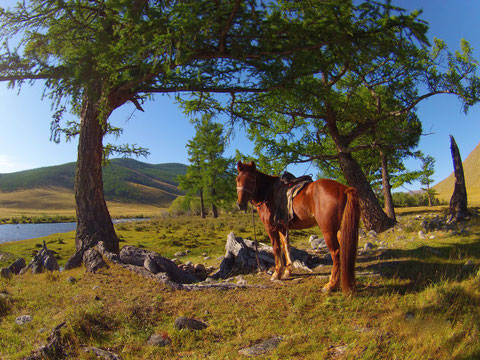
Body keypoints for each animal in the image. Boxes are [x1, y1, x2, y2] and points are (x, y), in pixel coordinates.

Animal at [236, 162, 360, 294]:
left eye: (251, 180)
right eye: (237, 179)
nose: (240, 204)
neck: (268, 193)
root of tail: (344, 189)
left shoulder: (271, 227)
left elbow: (276, 248)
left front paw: (276, 274)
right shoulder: (282, 227)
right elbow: (286, 247)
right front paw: (287, 271)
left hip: (328, 230)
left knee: (336, 253)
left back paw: (331, 285)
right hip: (340, 230)